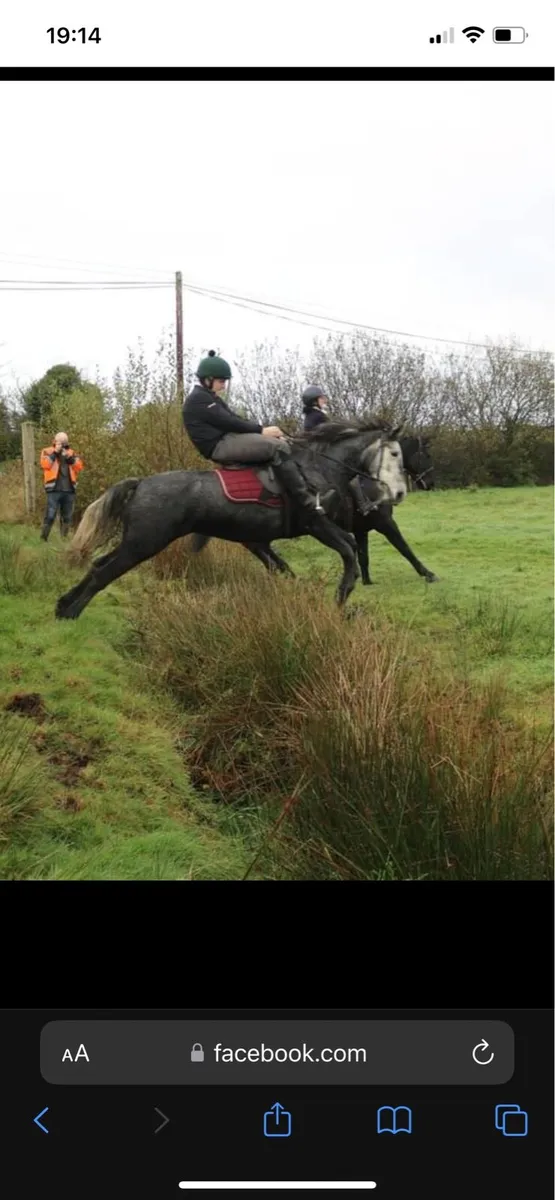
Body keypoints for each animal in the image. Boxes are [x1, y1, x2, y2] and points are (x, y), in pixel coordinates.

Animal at [55, 420, 407, 620]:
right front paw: (341, 597)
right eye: (394, 454)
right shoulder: (317, 525)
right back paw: (72, 612)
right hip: (144, 543)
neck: (317, 467)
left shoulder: (267, 540)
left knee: (99, 565)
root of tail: (140, 484)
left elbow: (293, 567)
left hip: (136, 541)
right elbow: (348, 549)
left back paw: (63, 605)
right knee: (105, 573)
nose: (400, 493)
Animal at [189, 434, 439, 586]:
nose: (431, 482)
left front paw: (365, 581)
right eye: (426, 455)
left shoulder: (361, 529)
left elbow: (364, 555)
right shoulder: (385, 524)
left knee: (265, 554)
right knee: (265, 554)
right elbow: (404, 548)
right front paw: (428, 573)